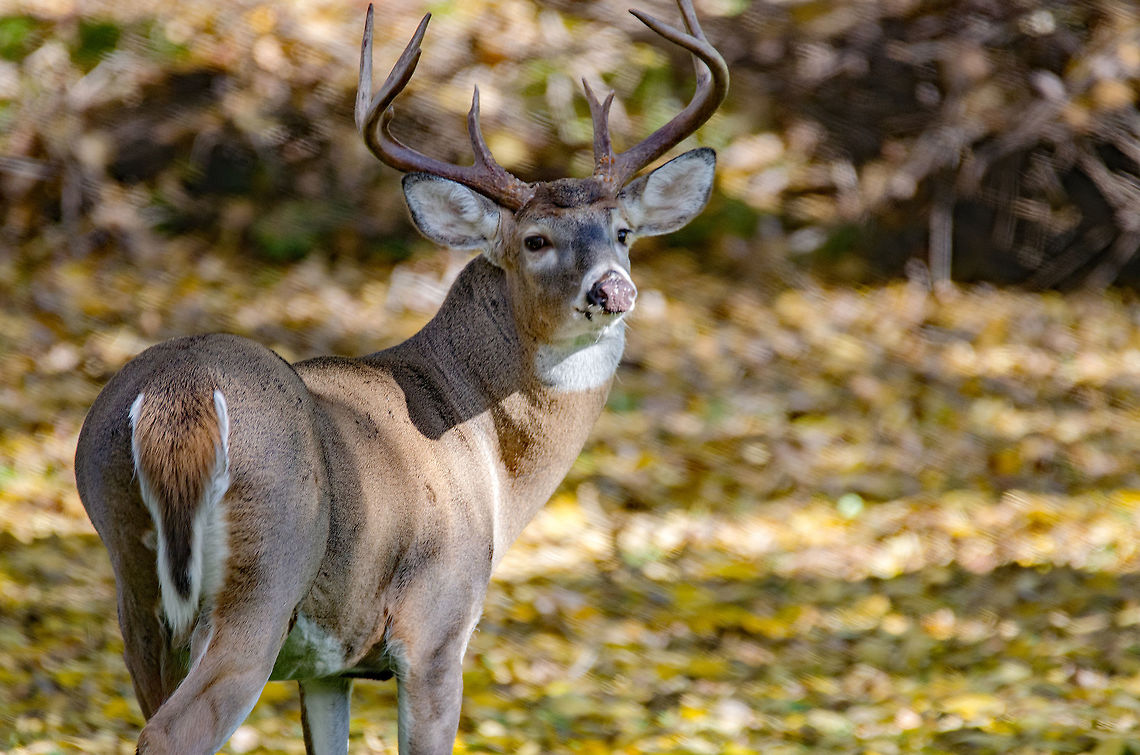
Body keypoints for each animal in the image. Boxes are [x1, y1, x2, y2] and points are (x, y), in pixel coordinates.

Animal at [73, 1, 727, 752]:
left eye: (623, 232)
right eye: (535, 241)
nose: (612, 288)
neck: (486, 448)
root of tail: (176, 395)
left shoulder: (327, 666)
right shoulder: (436, 625)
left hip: (134, 585)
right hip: (263, 576)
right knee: (173, 730)